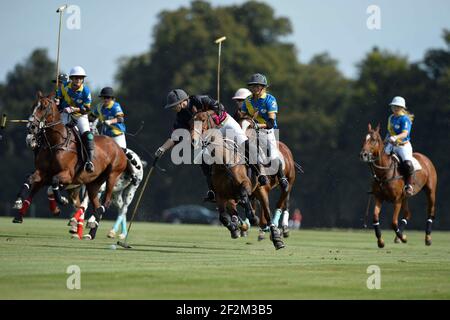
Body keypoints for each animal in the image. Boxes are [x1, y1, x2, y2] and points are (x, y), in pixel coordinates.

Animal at [14, 91, 127, 239]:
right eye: (33, 106)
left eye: (43, 107)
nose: (31, 127)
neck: (55, 143)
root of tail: (120, 149)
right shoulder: (43, 173)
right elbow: (31, 179)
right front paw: (18, 202)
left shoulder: (68, 175)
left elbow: (54, 182)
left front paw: (61, 201)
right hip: (93, 183)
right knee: (96, 204)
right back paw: (90, 232)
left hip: (112, 176)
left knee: (105, 202)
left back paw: (89, 222)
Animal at [192, 110, 286, 250]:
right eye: (192, 121)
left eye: (203, 120)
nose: (193, 139)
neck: (224, 162)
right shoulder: (220, 196)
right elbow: (223, 217)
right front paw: (234, 228)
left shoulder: (245, 183)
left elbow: (243, 194)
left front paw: (252, 218)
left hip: (261, 190)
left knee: (267, 214)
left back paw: (277, 239)